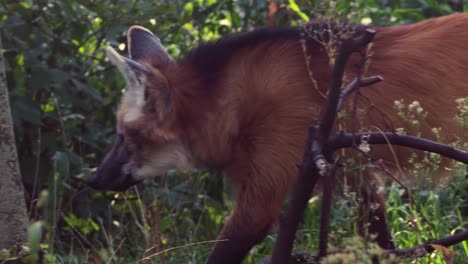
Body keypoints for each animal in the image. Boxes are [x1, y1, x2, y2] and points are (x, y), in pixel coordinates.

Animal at [88, 12, 468, 264]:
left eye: (123, 136)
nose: (94, 179)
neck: (236, 102)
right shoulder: (355, 172)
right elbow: (380, 243)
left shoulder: (267, 187)